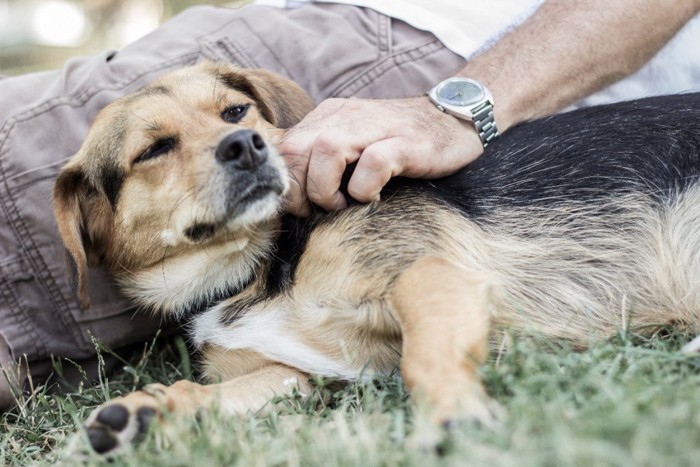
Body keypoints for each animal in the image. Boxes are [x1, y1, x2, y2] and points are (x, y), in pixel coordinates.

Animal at [52, 61, 700, 454]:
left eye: (235, 112)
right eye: (153, 149)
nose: (246, 146)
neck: (255, 268)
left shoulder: (430, 275)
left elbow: (423, 359)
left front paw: (453, 416)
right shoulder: (298, 372)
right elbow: (212, 393)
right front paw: (143, 416)